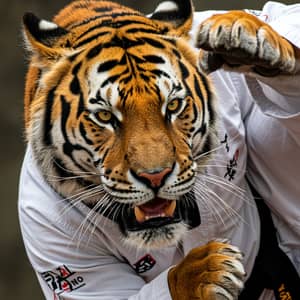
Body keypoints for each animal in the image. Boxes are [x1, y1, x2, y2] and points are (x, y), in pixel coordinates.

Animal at [21, 0, 298, 300]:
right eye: (105, 116)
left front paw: (246, 35)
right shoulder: (52, 239)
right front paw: (205, 271)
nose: (155, 176)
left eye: (173, 105)